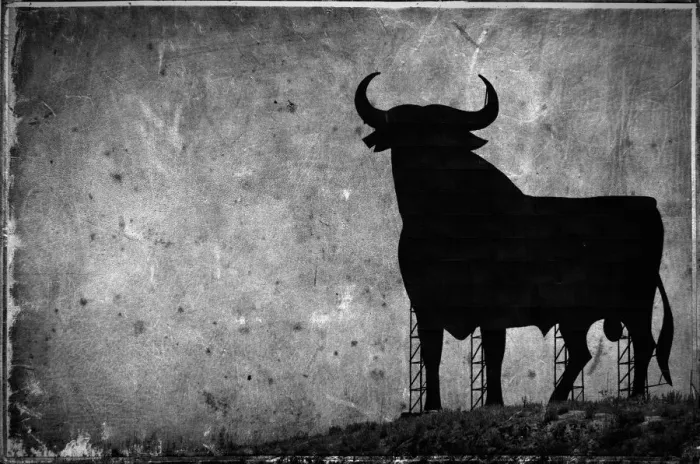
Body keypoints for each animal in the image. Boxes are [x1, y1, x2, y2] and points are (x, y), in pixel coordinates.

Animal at [355, 72, 673, 410]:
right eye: (404, 133)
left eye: (443, 134)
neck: (443, 224)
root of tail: (649, 204)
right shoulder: (425, 305)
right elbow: (432, 355)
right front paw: (431, 407)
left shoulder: (493, 306)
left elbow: (494, 353)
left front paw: (493, 402)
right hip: (576, 315)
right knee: (583, 352)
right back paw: (557, 398)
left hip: (635, 301)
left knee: (642, 343)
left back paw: (634, 395)